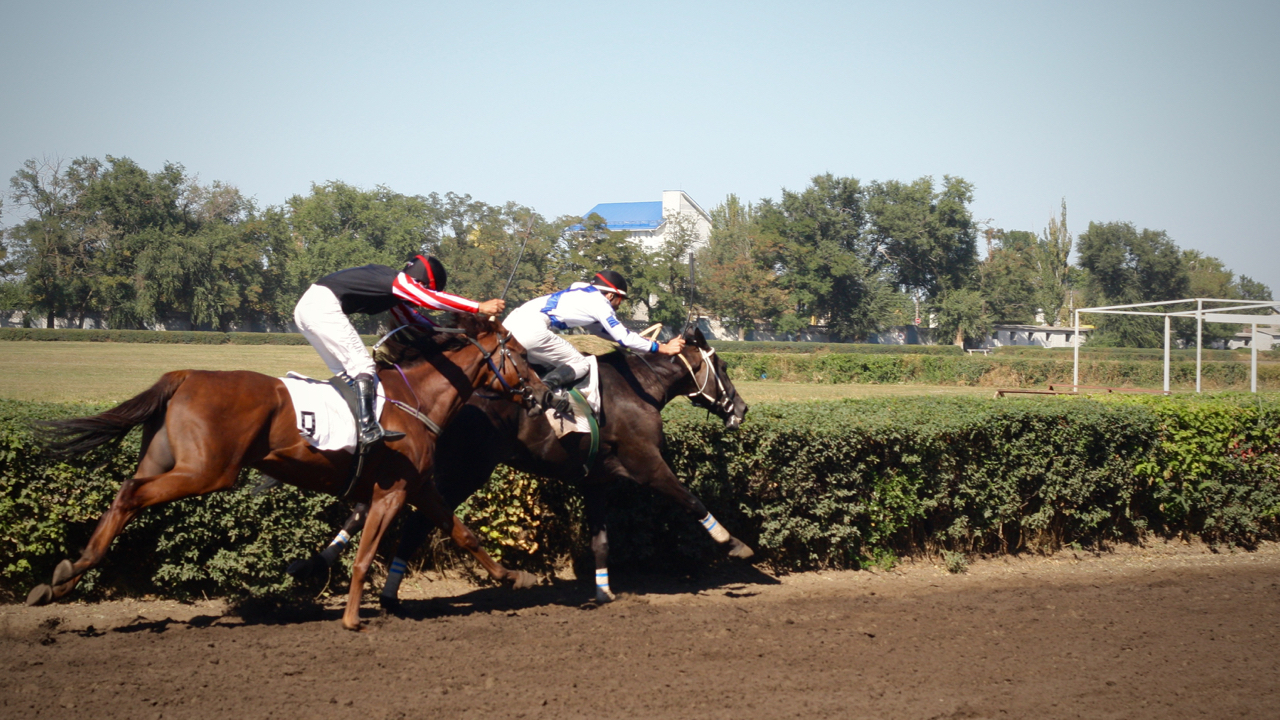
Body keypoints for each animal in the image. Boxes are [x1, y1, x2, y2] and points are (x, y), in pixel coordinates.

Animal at [28, 313, 540, 627]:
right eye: (518, 352)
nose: (541, 390)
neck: (414, 400)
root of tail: (186, 375)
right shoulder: (391, 491)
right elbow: (365, 554)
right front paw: (351, 617)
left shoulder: (419, 487)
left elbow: (464, 533)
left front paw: (513, 577)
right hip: (207, 470)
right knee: (133, 493)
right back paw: (74, 569)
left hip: (165, 457)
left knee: (125, 490)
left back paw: (63, 577)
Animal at [290, 325, 747, 599]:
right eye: (723, 365)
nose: (741, 409)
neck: (639, 388)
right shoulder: (647, 464)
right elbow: (690, 499)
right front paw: (735, 543)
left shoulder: (597, 481)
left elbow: (600, 540)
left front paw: (603, 591)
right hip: (467, 470)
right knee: (419, 521)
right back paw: (388, 591)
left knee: (373, 508)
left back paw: (322, 564)